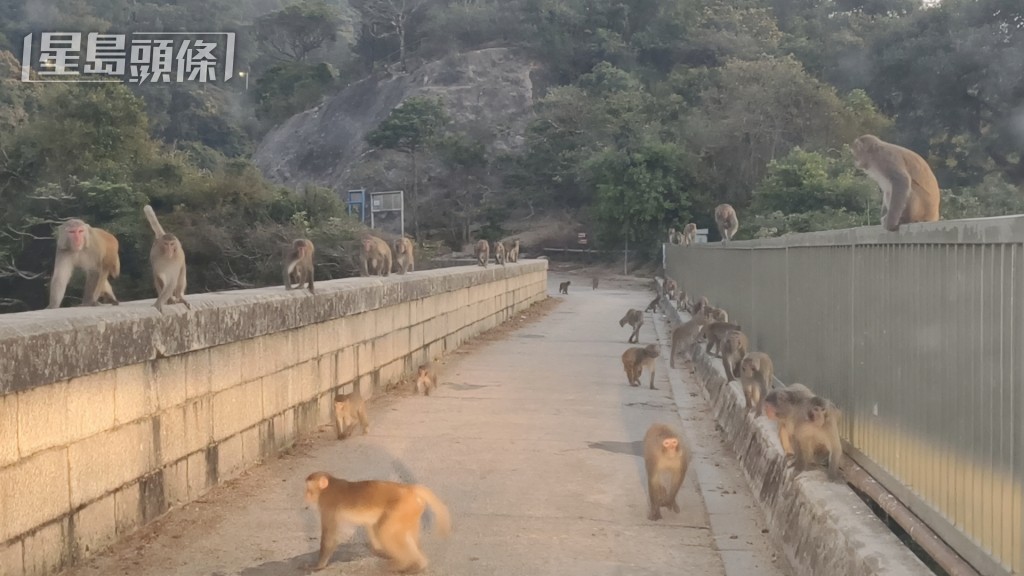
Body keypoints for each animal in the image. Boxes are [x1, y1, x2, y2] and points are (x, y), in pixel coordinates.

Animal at [301, 471, 450, 569]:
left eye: (308, 490)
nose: (305, 496)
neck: (329, 486)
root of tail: (409, 489)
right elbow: (366, 525)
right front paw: (378, 550)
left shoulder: (327, 505)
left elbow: (330, 537)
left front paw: (318, 566)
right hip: (411, 511)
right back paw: (420, 562)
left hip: (402, 507)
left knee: (384, 531)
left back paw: (405, 563)